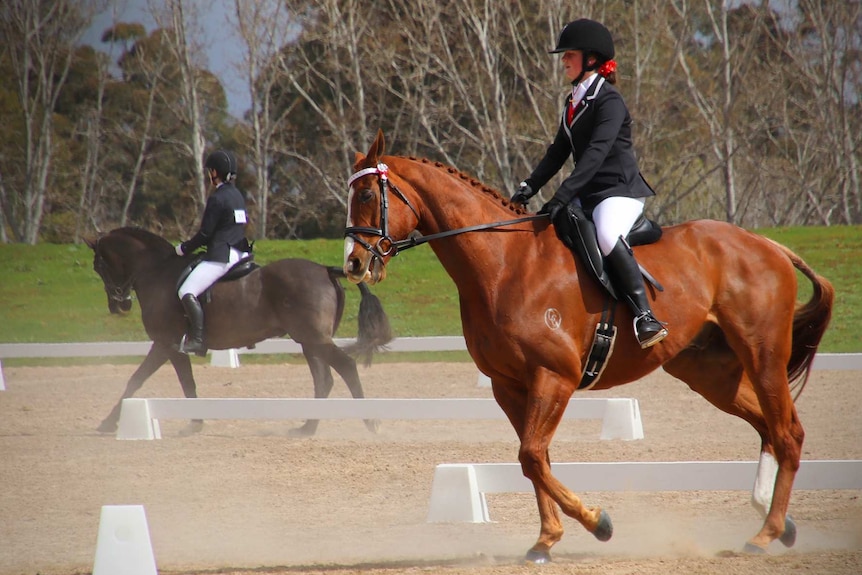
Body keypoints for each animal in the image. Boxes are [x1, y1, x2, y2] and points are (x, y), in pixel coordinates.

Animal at [87, 227, 392, 434]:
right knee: (323, 380)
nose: (119, 305)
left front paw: (108, 423)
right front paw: (195, 422)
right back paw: (307, 428)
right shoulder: (169, 346)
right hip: (310, 342)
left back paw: (370, 422)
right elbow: (182, 383)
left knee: (346, 367)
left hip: (315, 339)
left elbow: (140, 381)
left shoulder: (166, 344)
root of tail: (324, 270)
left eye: (99, 265)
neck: (157, 272)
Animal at [344, 132, 836, 564]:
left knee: (788, 432)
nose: (353, 263)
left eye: (367, 194)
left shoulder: (554, 377)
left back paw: (765, 534)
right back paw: (777, 522)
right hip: (707, 373)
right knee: (767, 427)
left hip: (762, 354)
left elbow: (531, 455)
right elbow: (534, 459)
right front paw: (546, 540)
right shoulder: (509, 386)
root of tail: (767, 244)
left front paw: (598, 523)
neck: (505, 264)